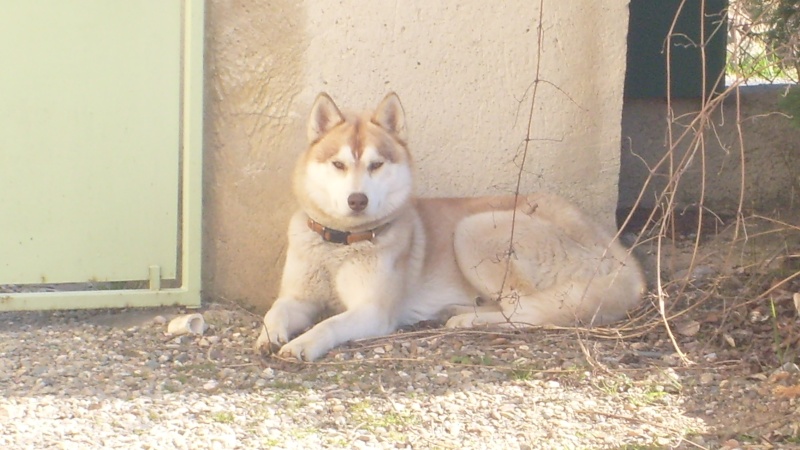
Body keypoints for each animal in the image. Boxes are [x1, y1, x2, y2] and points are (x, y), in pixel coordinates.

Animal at [256, 92, 644, 362]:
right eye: (338, 164)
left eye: (376, 165)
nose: (357, 200)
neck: (340, 243)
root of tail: (623, 258)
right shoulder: (298, 297)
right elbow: (275, 310)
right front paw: (269, 335)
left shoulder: (373, 311)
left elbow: (330, 323)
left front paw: (303, 343)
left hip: (476, 229)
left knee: (526, 312)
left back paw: (466, 321)